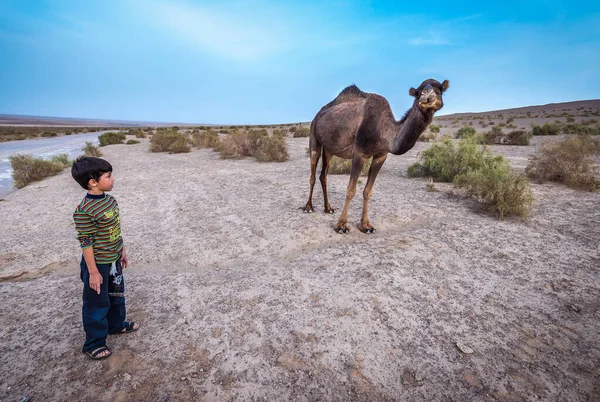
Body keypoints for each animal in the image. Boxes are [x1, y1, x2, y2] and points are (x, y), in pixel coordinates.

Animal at [302, 78, 448, 232]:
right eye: (417, 92)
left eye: (440, 89)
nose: (427, 95)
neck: (384, 131)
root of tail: (318, 115)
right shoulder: (359, 154)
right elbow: (351, 190)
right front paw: (341, 225)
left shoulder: (381, 156)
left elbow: (368, 191)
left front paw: (366, 225)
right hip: (314, 137)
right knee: (313, 174)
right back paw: (308, 207)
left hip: (330, 150)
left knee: (323, 175)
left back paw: (328, 208)